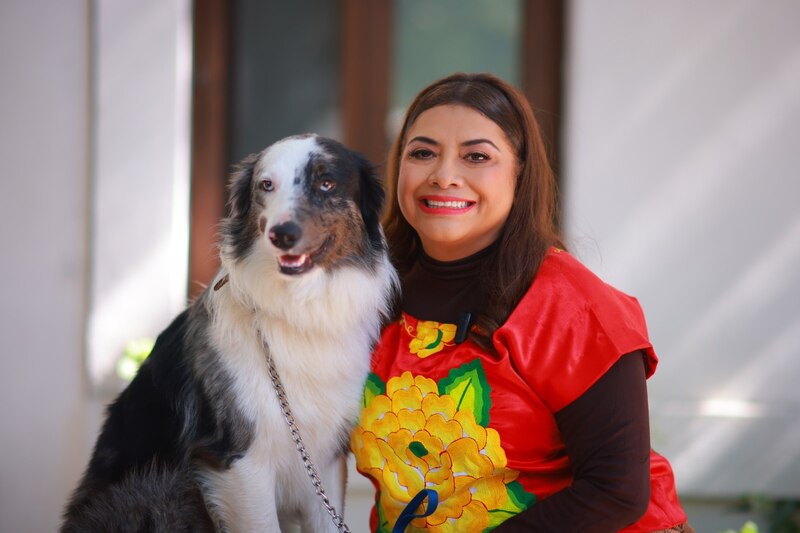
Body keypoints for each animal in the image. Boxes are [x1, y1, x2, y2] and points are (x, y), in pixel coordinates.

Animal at [61, 135, 398, 528]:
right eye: (266, 185)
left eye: (326, 183)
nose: (282, 234)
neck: (297, 308)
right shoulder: (240, 462)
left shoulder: (325, 460)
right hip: (163, 488)